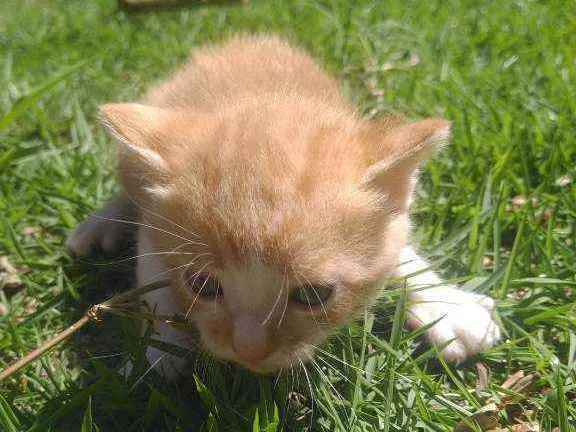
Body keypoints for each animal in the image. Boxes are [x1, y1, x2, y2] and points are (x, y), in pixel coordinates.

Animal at [68, 35, 500, 376]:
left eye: (314, 296)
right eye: (202, 284)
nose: (249, 351)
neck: (265, 99)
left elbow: (400, 249)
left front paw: (449, 305)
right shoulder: (154, 221)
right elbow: (152, 271)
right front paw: (161, 348)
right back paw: (99, 223)